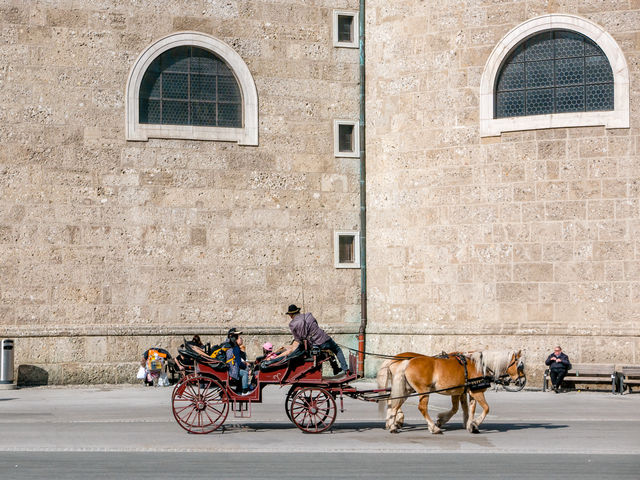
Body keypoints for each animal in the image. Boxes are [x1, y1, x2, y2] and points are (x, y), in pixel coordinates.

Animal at [378, 350, 524, 434]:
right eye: (520, 365)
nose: (522, 381)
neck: (478, 365)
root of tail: (406, 362)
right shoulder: (476, 392)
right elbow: (486, 408)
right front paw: (474, 423)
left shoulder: (465, 392)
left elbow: (468, 409)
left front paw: (470, 425)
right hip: (423, 391)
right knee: (421, 407)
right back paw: (433, 428)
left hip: (406, 389)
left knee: (394, 404)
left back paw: (392, 425)